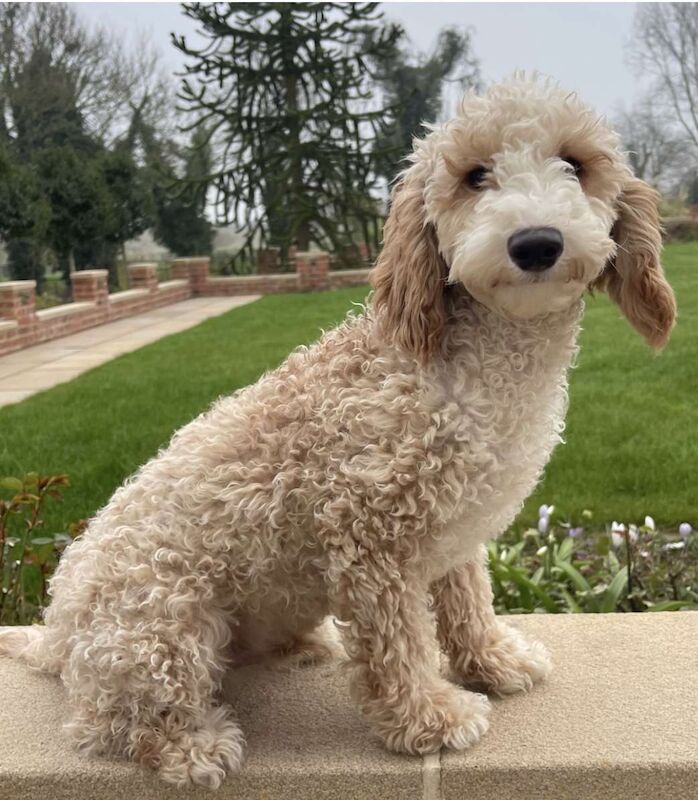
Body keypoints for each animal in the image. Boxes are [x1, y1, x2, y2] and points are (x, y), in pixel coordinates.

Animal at [0, 75, 676, 788]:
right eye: (474, 175)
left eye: (575, 164)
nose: (536, 242)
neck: (466, 370)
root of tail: (55, 631)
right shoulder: (370, 537)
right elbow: (398, 645)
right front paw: (429, 718)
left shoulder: (458, 527)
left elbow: (468, 603)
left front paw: (494, 661)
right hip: (159, 623)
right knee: (111, 723)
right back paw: (192, 747)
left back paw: (301, 648)